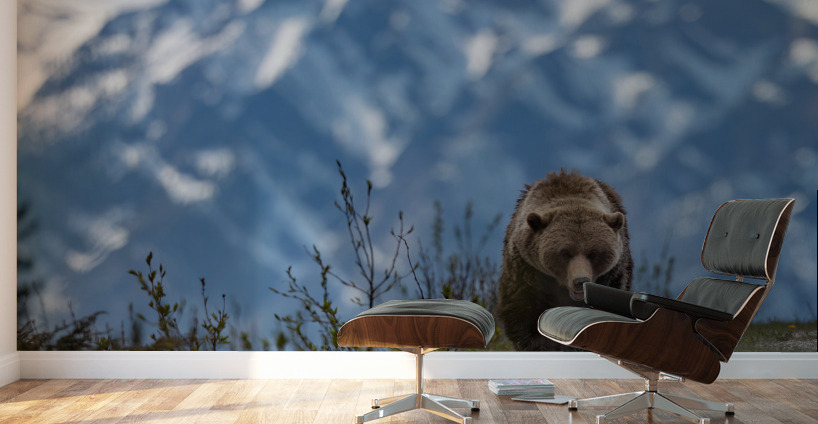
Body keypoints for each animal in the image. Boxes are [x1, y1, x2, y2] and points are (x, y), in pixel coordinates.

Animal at [497, 169, 633, 351]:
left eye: (594, 253)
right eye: (565, 253)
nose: (580, 281)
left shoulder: (612, 275)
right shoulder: (527, 271)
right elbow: (523, 315)